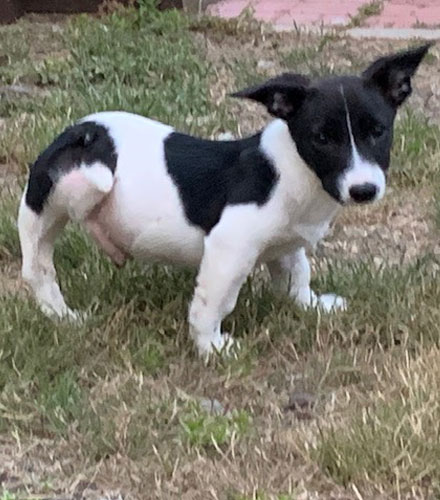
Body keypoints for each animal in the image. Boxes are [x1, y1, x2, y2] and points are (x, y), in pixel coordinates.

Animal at [17, 43, 430, 356]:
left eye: (378, 131)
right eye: (323, 139)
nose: (364, 190)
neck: (295, 171)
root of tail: (81, 132)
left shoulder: (285, 244)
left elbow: (297, 273)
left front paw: (310, 304)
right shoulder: (231, 247)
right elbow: (214, 302)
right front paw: (211, 346)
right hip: (53, 202)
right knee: (38, 266)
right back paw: (61, 316)